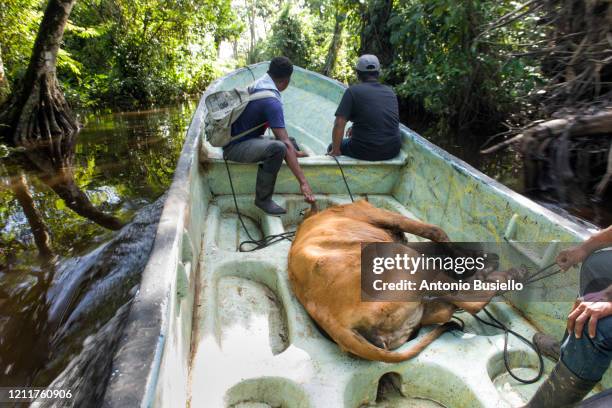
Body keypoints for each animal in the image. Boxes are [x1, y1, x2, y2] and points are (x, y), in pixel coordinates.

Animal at [290, 199, 524, 362]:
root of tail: (337, 323)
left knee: (448, 307)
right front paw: (474, 262)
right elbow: (437, 232)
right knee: (471, 301)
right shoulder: (382, 215)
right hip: (411, 261)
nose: (493, 257)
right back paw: (509, 275)